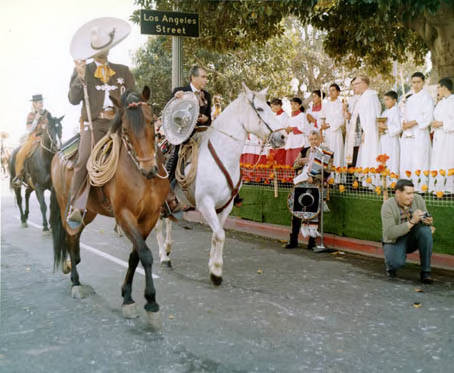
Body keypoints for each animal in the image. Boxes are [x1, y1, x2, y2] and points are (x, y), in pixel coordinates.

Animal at [49, 87, 169, 326]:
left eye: (152, 121)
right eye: (126, 129)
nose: (150, 169)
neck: (141, 176)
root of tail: (58, 153)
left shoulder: (149, 216)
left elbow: (135, 256)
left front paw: (127, 295)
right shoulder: (124, 215)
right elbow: (145, 253)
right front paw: (150, 302)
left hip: (89, 212)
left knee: (76, 235)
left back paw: (73, 264)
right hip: (65, 203)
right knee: (70, 236)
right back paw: (75, 281)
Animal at [156, 83, 284, 284]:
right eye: (261, 109)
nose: (283, 136)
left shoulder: (226, 206)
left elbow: (218, 235)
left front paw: (213, 265)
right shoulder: (205, 203)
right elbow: (221, 235)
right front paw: (216, 271)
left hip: (175, 199)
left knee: (168, 219)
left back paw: (168, 248)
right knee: (157, 225)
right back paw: (163, 255)